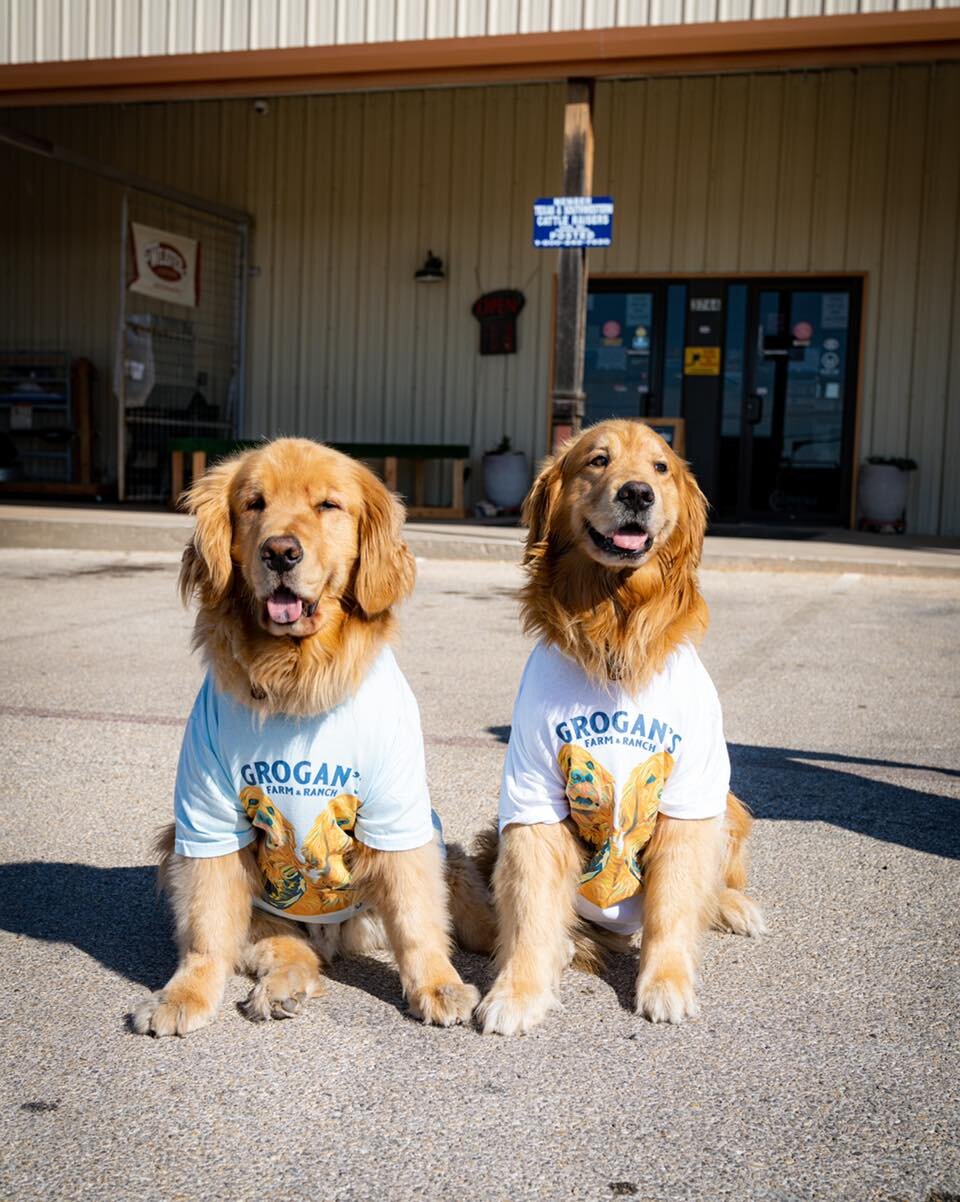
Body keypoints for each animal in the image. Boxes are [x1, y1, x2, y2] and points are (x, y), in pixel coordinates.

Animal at [131, 437, 492, 1038]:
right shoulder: (206, 821)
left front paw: (438, 986)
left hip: (446, 857)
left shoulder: (399, 816)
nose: (280, 552)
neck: (298, 685)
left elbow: (418, 918)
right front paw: (183, 994)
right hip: (197, 868)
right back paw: (280, 991)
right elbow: (206, 929)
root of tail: (334, 937)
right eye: (254, 503)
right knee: (291, 954)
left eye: (328, 505)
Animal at [475, 420, 764, 1033]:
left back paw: (734, 907)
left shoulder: (688, 796)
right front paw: (517, 992)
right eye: (597, 460)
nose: (637, 494)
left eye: (660, 467)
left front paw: (666, 985)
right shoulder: (532, 796)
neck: (616, 628)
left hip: (724, 803)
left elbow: (675, 904)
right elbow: (531, 907)